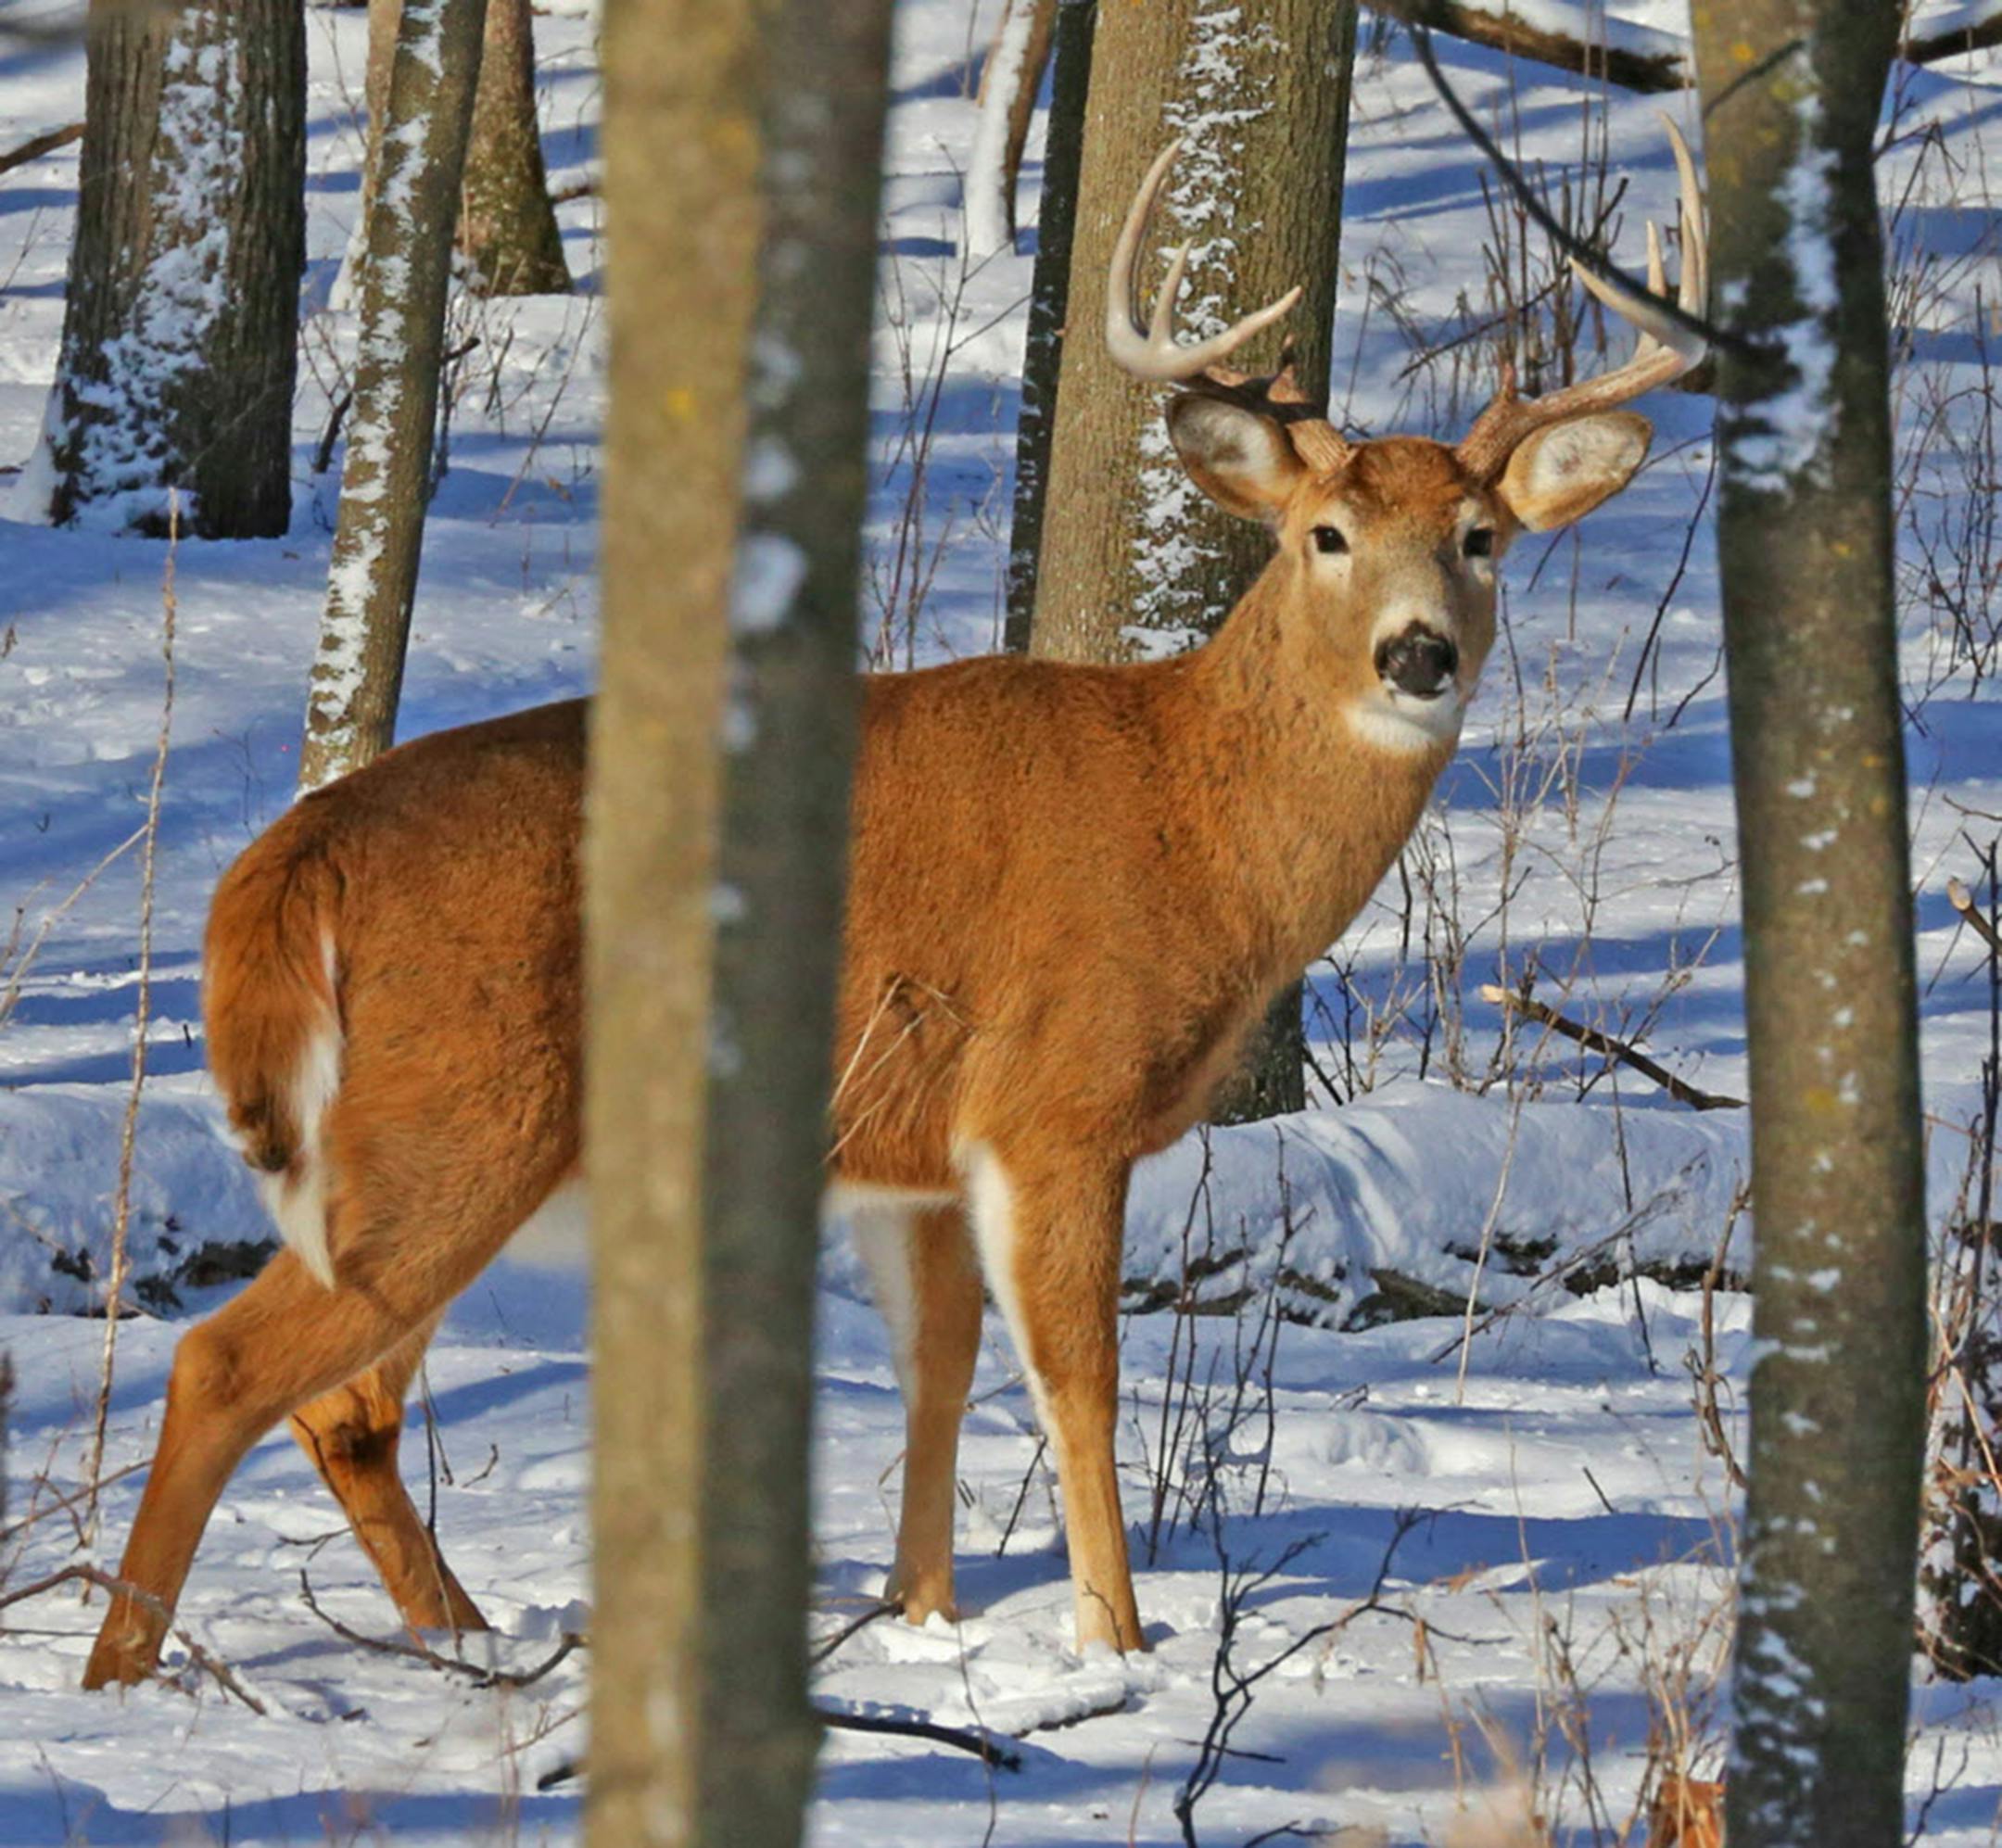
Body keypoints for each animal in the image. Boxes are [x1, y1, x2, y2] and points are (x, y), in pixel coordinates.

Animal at [82, 128, 1706, 1689]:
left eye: (1482, 537)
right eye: (1324, 532)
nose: (1419, 653)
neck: (1190, 814)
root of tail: (293, 859)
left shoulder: (913, 1151)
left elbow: (939, 1375)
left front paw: (920, 1618)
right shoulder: (1056, 1100)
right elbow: (1077, 1378)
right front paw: (1115, 1643)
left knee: (343, 1403)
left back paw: (468, 1639)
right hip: (457, 1121)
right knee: (227, 1367)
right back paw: (129, 1672)